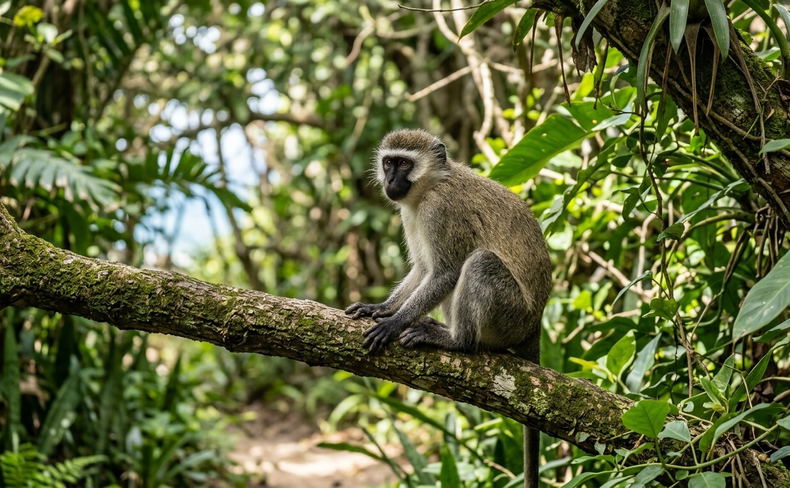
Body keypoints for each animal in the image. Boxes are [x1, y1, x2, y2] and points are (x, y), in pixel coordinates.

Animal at [345, 129, 552, 488]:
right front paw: (380, 308)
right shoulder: (411, 214)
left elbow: (445, 272)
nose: (390, 180)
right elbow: (423, 269)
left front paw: (394, 323)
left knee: (479, 263)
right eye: (388, 162)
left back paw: (457, 340)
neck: (431, 185)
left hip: (512, 316)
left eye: (404, 164)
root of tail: (536, 321)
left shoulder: (440, 211)